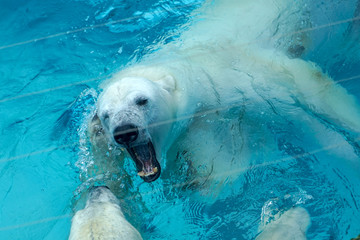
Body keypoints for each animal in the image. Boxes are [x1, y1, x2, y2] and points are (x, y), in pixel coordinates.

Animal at [88, 0, 360, 184]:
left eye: (142, 101)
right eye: (106, 115)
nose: (125, 132)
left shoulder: (243, 74)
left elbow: (308, 88)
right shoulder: (210, 115)